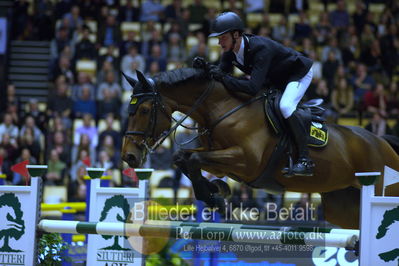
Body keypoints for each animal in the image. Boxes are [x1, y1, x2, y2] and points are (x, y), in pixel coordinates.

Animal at [121, 68, 399, 229]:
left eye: (144, 110)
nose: (129, 156)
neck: (223, 109)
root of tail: (383, 143)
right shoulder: (221, 160)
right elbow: (183, 158)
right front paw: (217, 191)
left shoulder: (246, 161)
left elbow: (193, 161)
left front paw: (217, 198)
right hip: (341, 206)